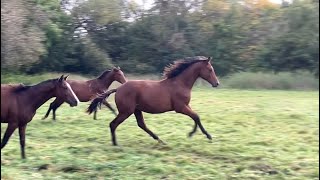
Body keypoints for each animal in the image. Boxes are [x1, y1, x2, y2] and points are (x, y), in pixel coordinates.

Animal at [87, 56, 220, 146]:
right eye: (210, 69)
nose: (217, 83)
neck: (180, 83)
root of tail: (118, 88)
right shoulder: (180, 107)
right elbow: (196, 116)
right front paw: (205, 135)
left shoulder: (186, 106)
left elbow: (196, 117)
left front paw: (193, 134)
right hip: (126, 111)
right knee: (113, 124)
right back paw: (116, 144)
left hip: (136, 110)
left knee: (141, 124)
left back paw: (160, 140)